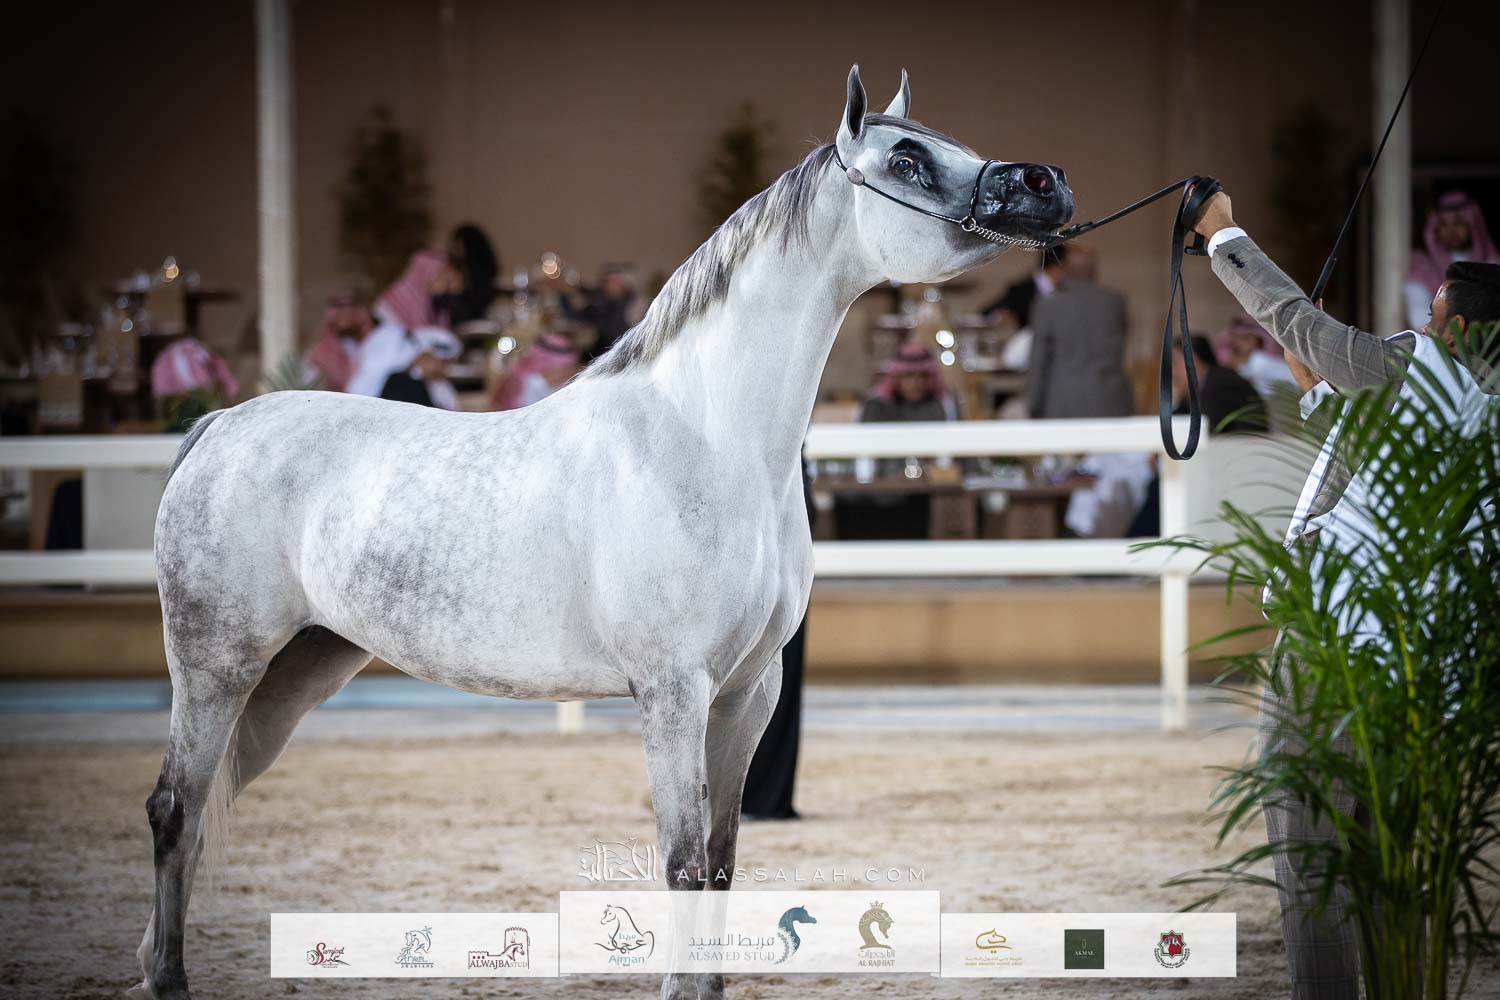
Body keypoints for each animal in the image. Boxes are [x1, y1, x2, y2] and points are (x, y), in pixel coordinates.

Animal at [133, 65, 1072, 1000]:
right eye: (906, 158)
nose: (1045, 183)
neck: (705, 438)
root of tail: (219, 424)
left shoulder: (747, 693)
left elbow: (722, 862)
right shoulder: (672, 691)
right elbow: (682, 862)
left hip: (295, 676)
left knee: (203, 808)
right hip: (217, 666)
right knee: (174, 809)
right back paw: (168, 978)